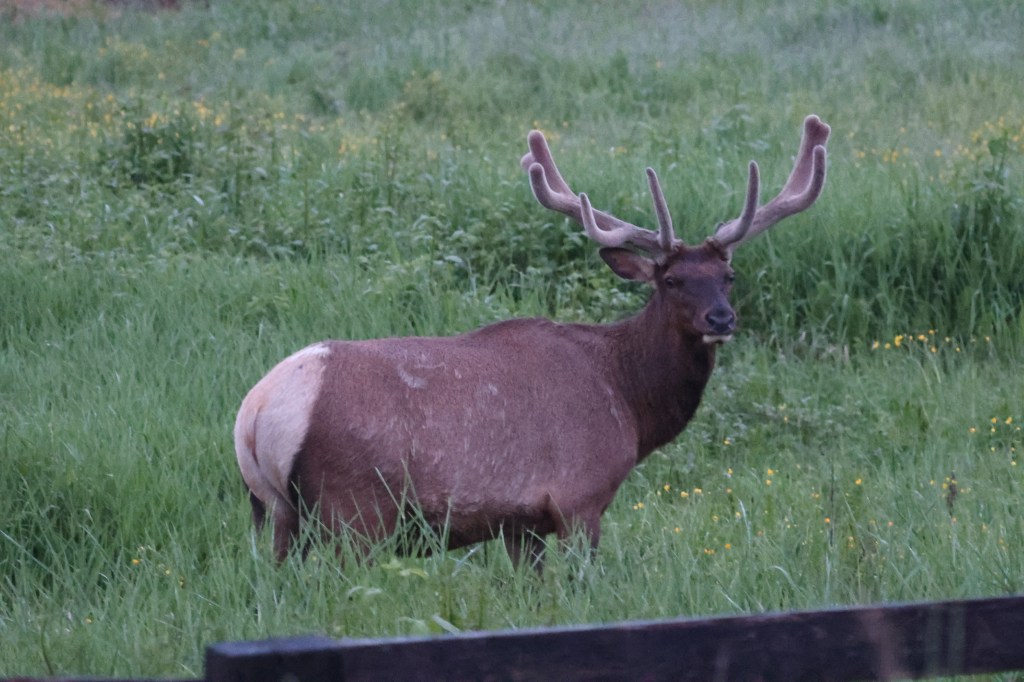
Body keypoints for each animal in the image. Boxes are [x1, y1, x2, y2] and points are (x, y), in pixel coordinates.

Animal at [234, 115, 830, 566]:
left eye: (728, 275)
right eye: (672, 280)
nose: (721, 318)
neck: (629, 403)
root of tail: (255, 413)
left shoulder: (521, 522)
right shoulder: (580, 496)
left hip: (277, 513)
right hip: (352, 507)